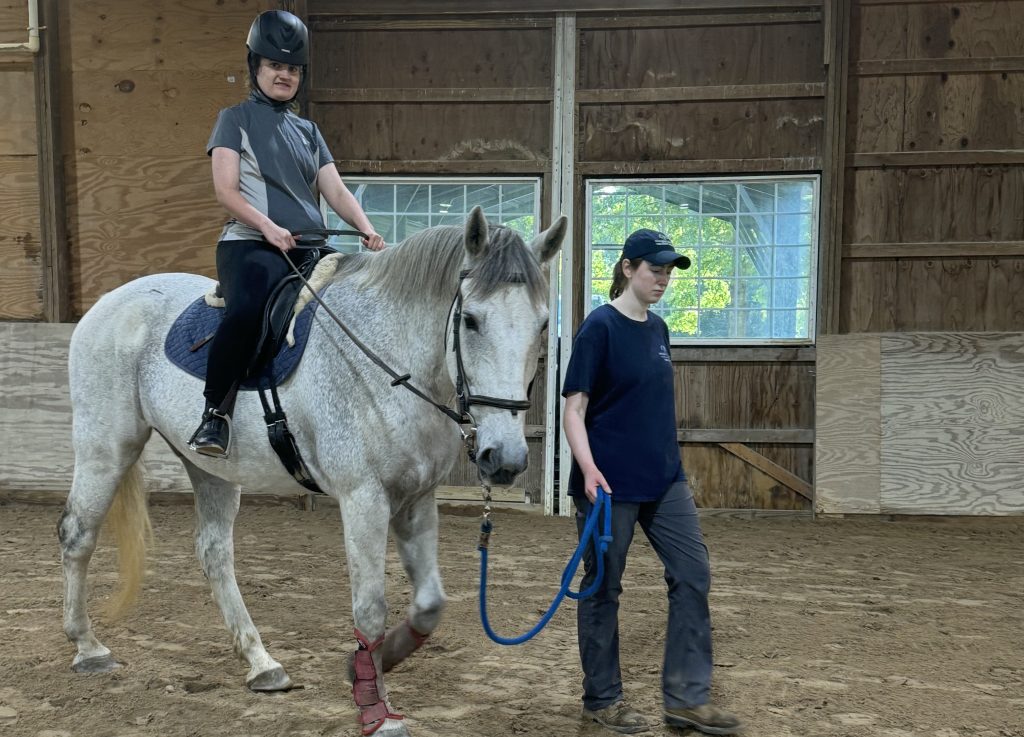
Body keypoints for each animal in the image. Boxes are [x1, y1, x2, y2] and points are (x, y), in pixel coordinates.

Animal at [58, 206, 567, 737]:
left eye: (541, 323)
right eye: (470, 320)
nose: (504, 458)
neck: (390, 360)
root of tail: (111, 301)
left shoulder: (417, 498)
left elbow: (430, 605)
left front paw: (373, 664)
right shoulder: (364, 498)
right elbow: (370, 609)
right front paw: (375, 708)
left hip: (211, 468)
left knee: (214, 554)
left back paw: (261, 662)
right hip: (105, 448)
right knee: (78, 535)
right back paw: (88, 648)